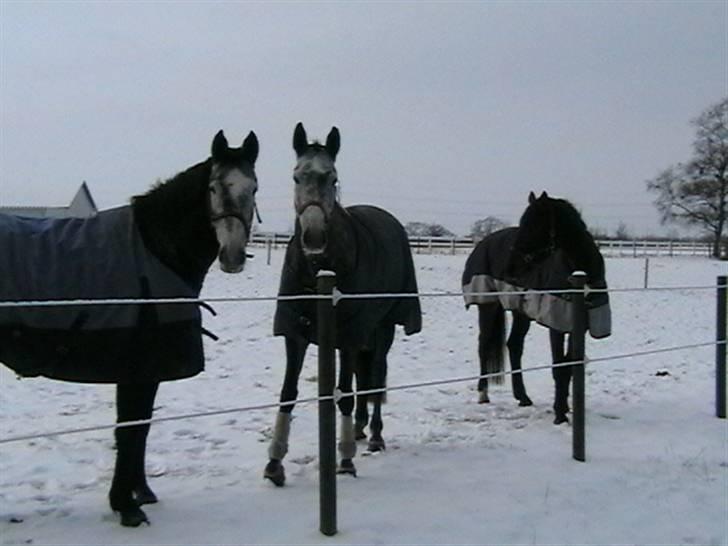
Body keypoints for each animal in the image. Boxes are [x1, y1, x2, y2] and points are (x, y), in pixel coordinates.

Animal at [0, 130, 260, 524]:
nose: (232, 257)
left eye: (254, 187)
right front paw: (126, 505)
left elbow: (141, 428)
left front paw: (140, 493)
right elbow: (130, 430)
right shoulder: (137, 368)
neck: (154, 250)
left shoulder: (145, 370)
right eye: (214, 187)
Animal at [264, 121, 420, 482]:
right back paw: (361, 430)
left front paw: (345, 459)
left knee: (375, 376)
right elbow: (288, 394)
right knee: (363, 378)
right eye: (297, 176)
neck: (320, 272)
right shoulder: (296, 333)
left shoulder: (348, 334)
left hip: (382, 328)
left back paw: (374, 435)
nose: (313, 237)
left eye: (332, 178)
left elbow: (345, 395)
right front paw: (275, 462)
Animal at [464, 191, 612, 424]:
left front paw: (566, 408)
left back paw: (523, 397)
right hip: (488, 307)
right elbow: (558, 367)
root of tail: (483, 242)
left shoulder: (576, 326)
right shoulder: (557, 325)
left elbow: (569, 365)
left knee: (514, 346)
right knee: (484, 346)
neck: (580, 274)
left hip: (520, 313)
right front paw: (559, 414)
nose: (510, 269)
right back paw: (483, 394)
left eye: (534, 225)